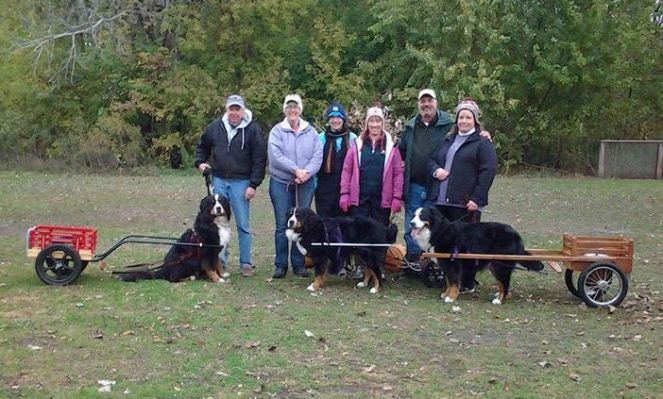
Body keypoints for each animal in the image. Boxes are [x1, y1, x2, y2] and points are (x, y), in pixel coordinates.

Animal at [410, 208, 544, 304]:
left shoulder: (452, 264)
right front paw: (446, 294)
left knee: (505, 284)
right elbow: (448, 281)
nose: (411, 223)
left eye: (422, 216)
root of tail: (516, 234)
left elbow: (453, 282)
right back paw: (498, 294)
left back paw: (499, 300)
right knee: (502, 284)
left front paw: (451, 297)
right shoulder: (446, 266)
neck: (439, 231)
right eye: (413, 216)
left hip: (500, 265)